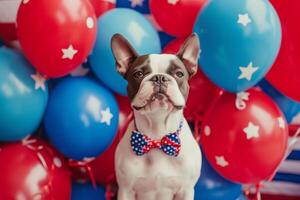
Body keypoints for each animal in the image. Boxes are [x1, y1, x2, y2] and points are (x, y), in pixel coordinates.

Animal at [112, 33, 202, 200]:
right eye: (138, 74)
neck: (157, 136)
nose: (159, 77)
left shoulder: (186, 190)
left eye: (179, 74)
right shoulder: (126, 190)